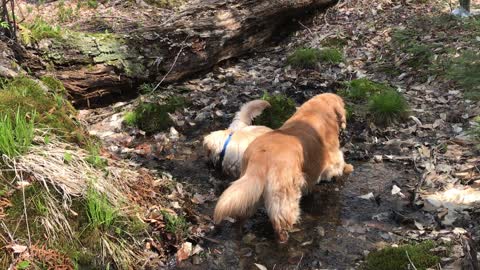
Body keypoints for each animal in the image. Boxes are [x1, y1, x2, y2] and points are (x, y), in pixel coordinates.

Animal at [214, 93, 352, 243]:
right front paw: (347, 168)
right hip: (284, 196)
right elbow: (338, 164)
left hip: (248, 190)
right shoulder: (332, 155)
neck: (316, 111)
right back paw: (286, 237)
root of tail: (260, 157)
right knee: (280, 223)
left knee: (241, 216)